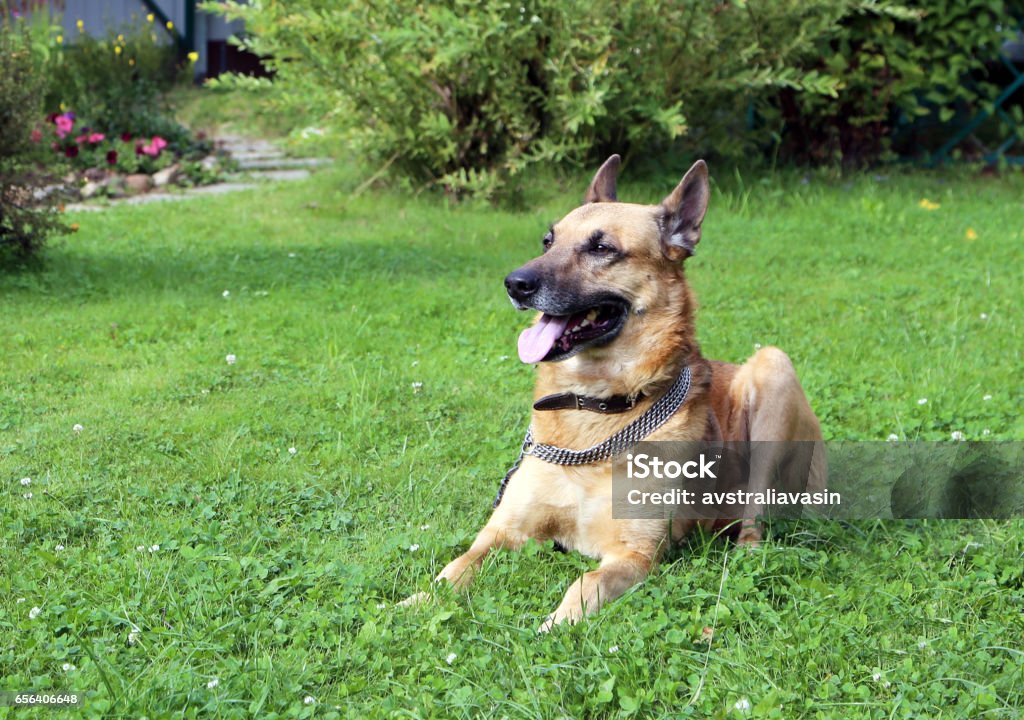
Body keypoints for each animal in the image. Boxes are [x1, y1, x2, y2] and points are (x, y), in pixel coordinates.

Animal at [399, 156, 823, 630]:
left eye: (602, 248)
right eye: (548, 240)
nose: (514, 284)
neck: (594, 409)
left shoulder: (634, 554)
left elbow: (586, 584)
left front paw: (554, 625)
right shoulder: (504, 530)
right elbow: (458, 566)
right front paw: (417, 602)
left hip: (773, 369)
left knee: (754, 520)